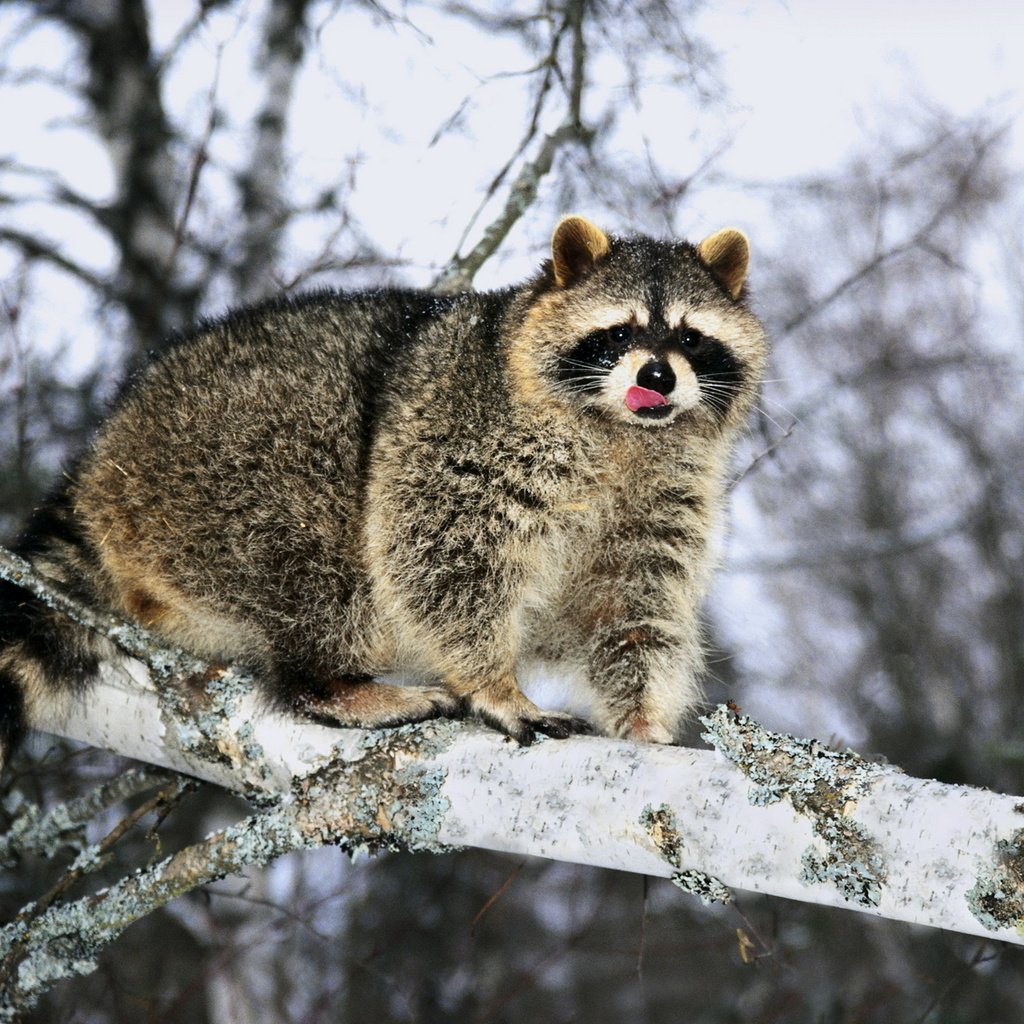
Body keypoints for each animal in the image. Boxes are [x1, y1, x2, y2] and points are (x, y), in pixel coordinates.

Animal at [0, 216, 770, 765]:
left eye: (691, 339)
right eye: (618, 333)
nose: (657, 377)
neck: (623, 434)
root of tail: (100, 461)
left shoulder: (664, 494)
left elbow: (633, 604)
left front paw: (642, 716)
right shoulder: (462, 435)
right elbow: (441, 558)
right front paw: (493, 682)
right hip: (222, 467)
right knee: (318, 564)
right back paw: (332, 682)